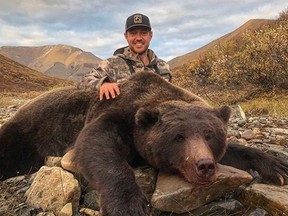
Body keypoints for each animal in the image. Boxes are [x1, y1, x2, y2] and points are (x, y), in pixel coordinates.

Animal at [0, 71, 288, 215]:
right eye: (178, 137)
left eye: (209, 135)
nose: (204, 165)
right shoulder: (115, 113)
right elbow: (95, 146)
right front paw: (128, 204)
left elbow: (236, 152)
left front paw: (277, 166)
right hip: (25, 133)